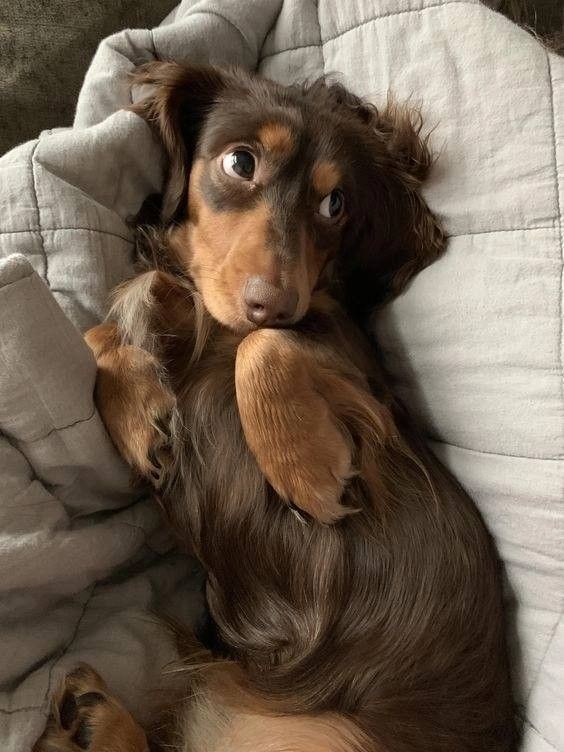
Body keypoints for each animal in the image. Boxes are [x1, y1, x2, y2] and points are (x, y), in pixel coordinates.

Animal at [33, 63, 516, 752]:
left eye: (336, 204)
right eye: (241, 162)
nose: (275, 303)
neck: (213, 322)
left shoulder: (370, 389)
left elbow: (260, 348)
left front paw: (307, 473)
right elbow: (103, 330)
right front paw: (137, 417)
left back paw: (94, 717)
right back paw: (92, 718)